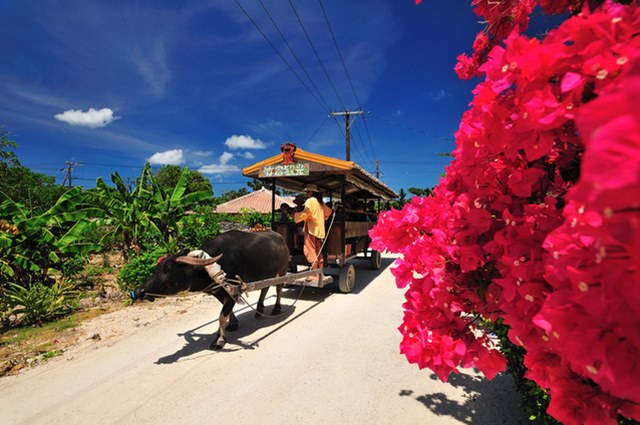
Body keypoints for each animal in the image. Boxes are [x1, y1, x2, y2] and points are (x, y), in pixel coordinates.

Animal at [132, 230, 290, 350]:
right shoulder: (219, 293)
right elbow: (226, 312)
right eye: (156, 269)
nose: (139, 291)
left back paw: (276, 308)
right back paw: (259, 309)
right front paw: (233, 323)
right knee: (265, 288)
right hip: (268, 274)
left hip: (282, 270)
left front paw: (219, 340)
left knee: (279, 288)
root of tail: (280, 237)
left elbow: (221, 316)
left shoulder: (232, 292)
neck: (207, 269)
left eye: (169, 268)